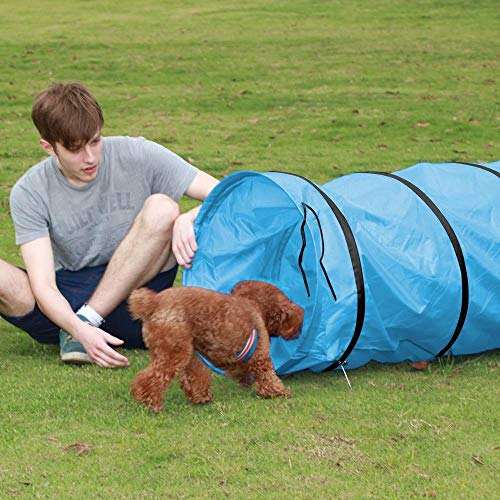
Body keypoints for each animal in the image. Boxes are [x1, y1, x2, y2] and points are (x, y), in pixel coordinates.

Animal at [127, 280, 302, 412]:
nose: (297, 332)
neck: (254, 305)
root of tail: (153, 302)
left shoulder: (198, 357)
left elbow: (198, 376)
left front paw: (200, 397)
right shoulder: (260, 356)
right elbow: (268, 377)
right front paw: (280, 392)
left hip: (178, 350)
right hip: (173, 351)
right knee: (150, 378)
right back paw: (152, 403)